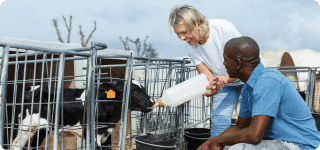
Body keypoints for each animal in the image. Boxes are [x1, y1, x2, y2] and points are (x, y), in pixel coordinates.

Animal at [9, 79, 155, 149]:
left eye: (143, 88)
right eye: (133, 90)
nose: (152, 101)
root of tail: (28, 88)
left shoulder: (106, 134)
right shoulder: (92, 134)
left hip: (42, 128)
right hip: (26, 127)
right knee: (15, 145)